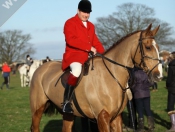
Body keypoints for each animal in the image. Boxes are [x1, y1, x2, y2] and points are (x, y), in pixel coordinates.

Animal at [29, 24, 163, 132]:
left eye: (158, 47)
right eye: (148, 47)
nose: (159, 75)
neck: (111, 76)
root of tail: (40, 68)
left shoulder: (116, 118)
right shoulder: (102, 117)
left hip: (67, 114)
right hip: (37, 109)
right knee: (35, 127)